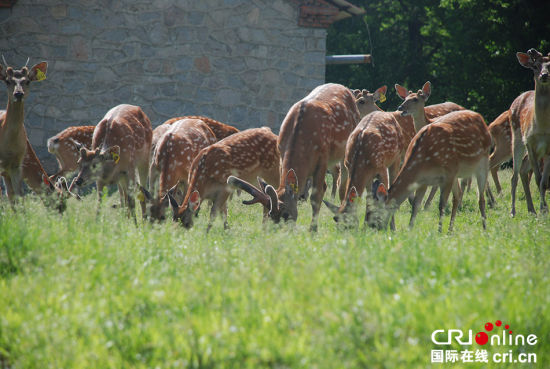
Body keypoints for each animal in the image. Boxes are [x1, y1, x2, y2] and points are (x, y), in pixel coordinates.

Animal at [366, 81, 492, 230]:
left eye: (374, 212)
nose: (371, 227)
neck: (424, 159)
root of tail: (480, 118)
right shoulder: (423, 180)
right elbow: (415, 205)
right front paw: (410, 229)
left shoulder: (448, 174)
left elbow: (441, 205)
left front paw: (439, 231)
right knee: (459, 194)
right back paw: (451, 229)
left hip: (482, 162)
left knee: (480, 197)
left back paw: (484, 227)